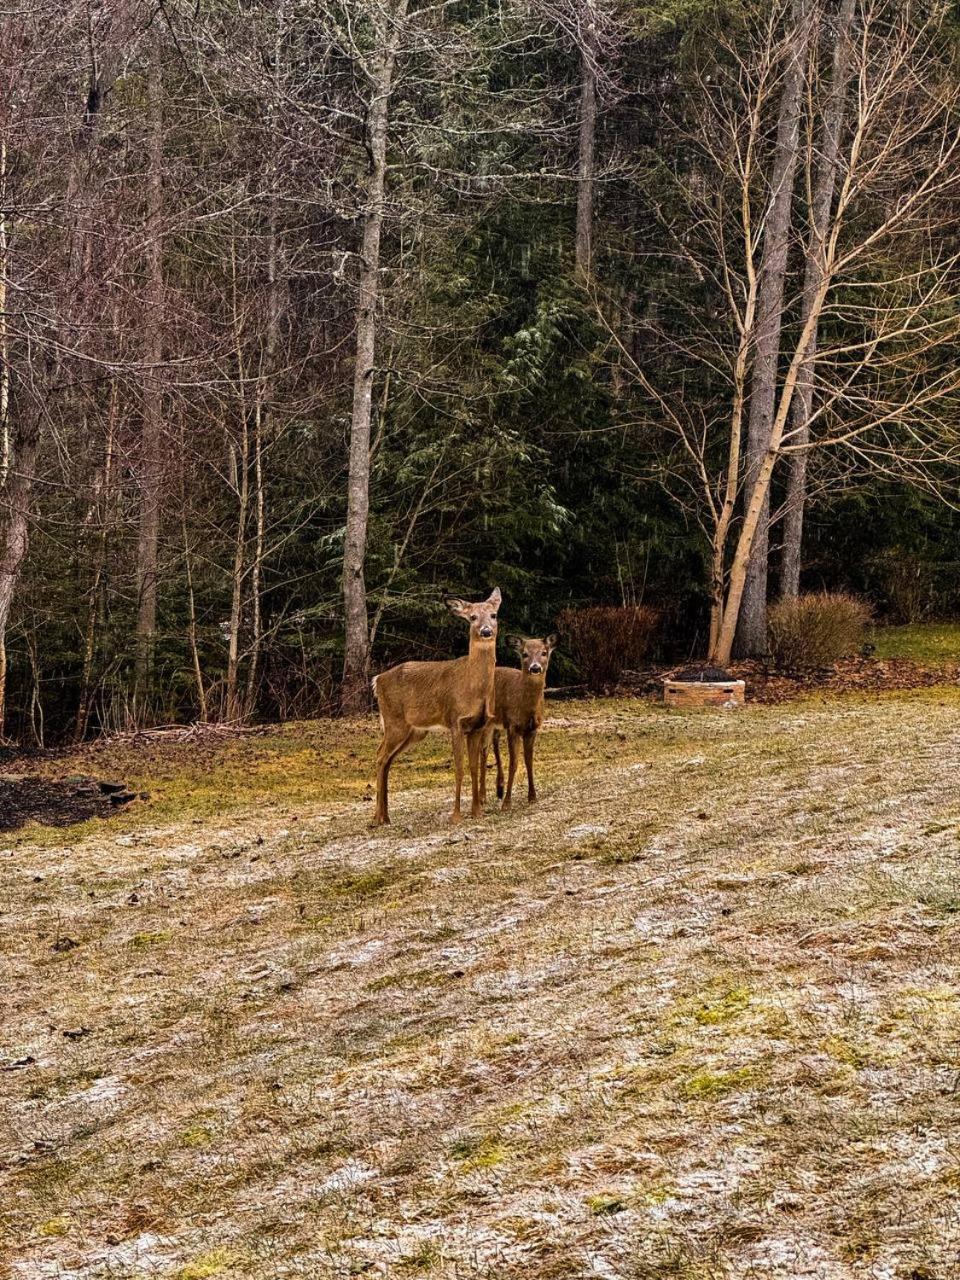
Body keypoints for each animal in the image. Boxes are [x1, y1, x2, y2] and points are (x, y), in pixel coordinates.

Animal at [371, 586, 504, 824]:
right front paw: (456, 815)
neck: (473, 688)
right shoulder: (455, 720)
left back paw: (385, 817)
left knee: (387, 759)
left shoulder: (478, 726)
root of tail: (377, 681)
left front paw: (477, 811)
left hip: (414, 731)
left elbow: (473, 766)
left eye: (494, 615)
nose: (486, 631)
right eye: (472, 617)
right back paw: (378, 818)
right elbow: (459, 768)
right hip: (395, 721)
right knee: (379, 756)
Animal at [483, 632, 560, 808]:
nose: (535, 667)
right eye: (524, 654)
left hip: (497, 723)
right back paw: (483, 797)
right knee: (482, 752)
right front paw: (507, 802)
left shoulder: (532, 729)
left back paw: (499, 788)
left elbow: (529, 761)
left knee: (493, 744)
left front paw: (532, 796)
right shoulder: (513, 727)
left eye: (544, 652)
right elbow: (514, 763)